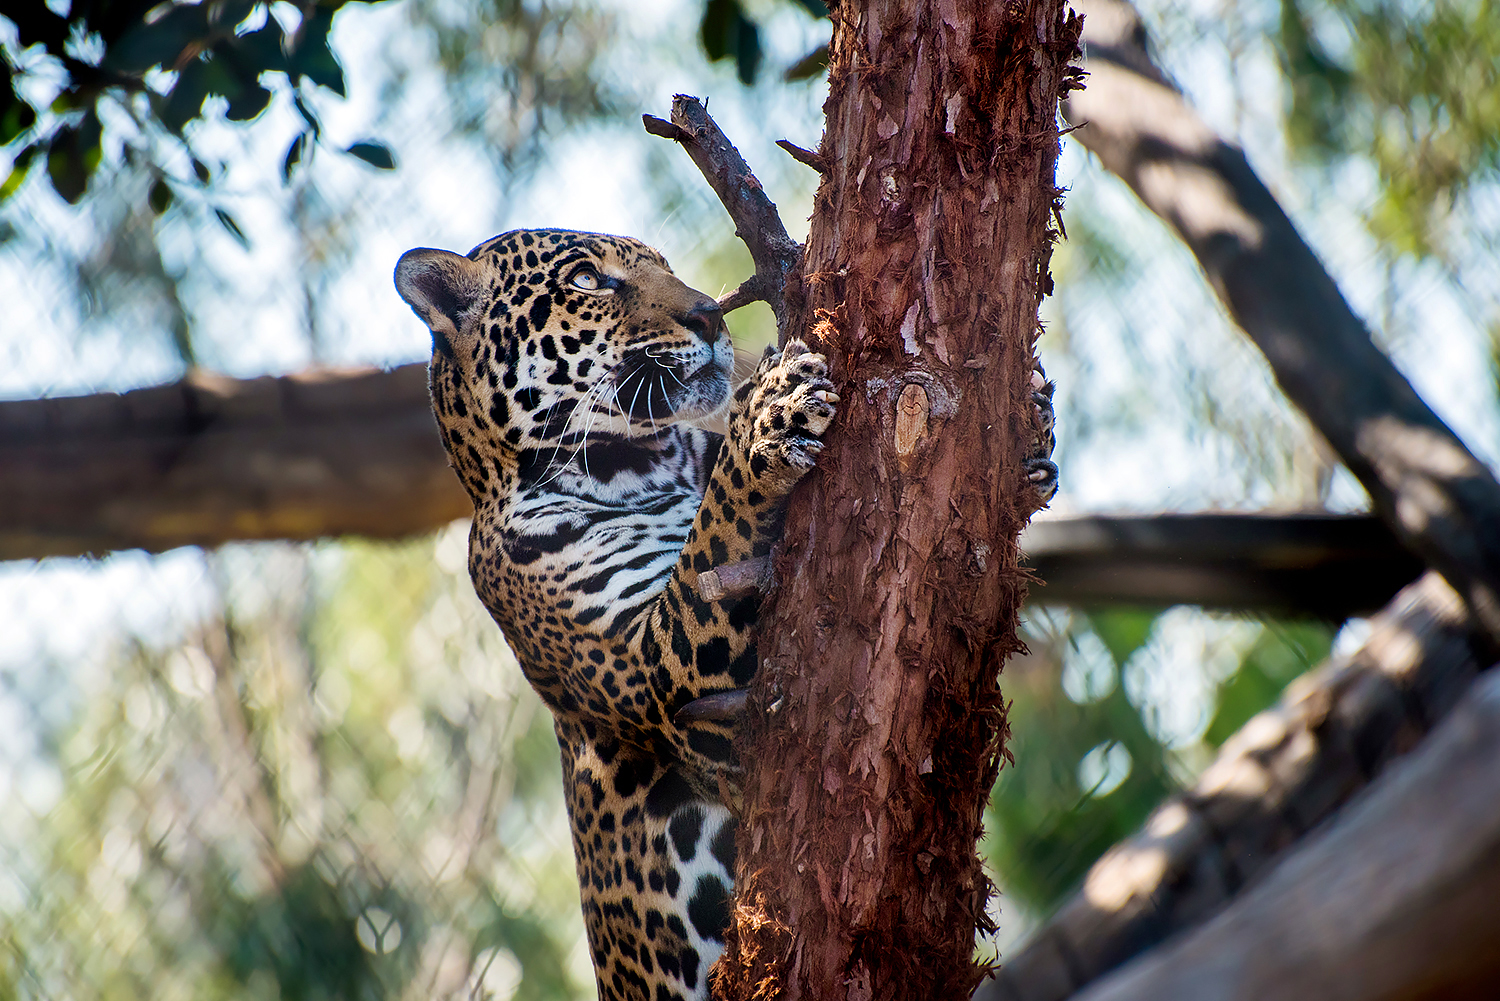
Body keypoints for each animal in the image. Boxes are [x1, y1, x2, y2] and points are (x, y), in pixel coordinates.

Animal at [394, 228, 1058, 1001]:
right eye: (589, 280)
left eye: (663, 265)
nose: (709, 314)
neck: (650, 462)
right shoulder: (656, 662)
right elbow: (715, 530)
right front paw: (768, 415)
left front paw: (1031, 428)